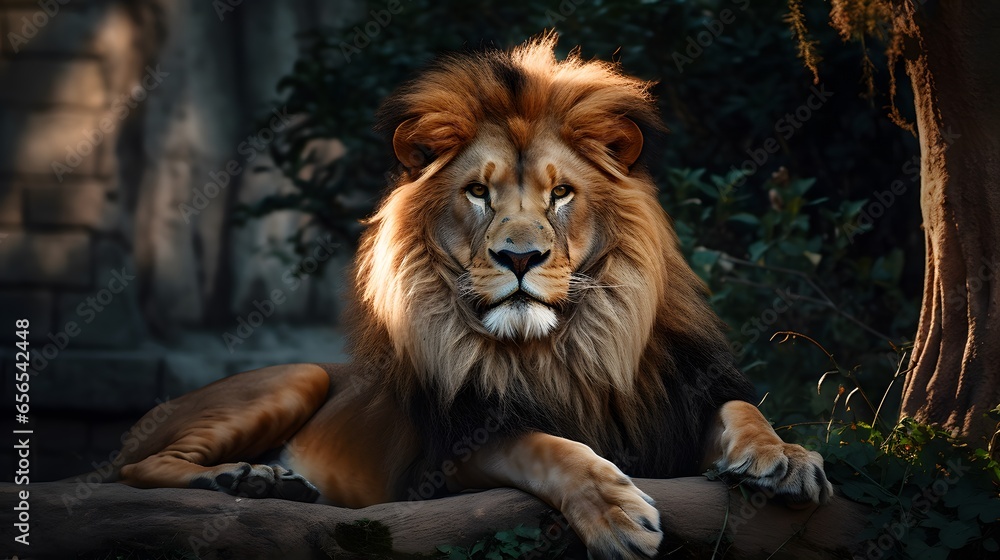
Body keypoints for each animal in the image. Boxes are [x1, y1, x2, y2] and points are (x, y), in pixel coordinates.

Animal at [103, 35, 832, 559]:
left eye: (560, 193)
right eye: (479, 193)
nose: (519, 257)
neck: (565, 349)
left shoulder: (677, 405)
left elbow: (742, 409)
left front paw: (786, 460)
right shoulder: (447, 461)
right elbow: (547, 447)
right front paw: (618, 515)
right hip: (294, 377)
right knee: (132, 470)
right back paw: (239, 479)